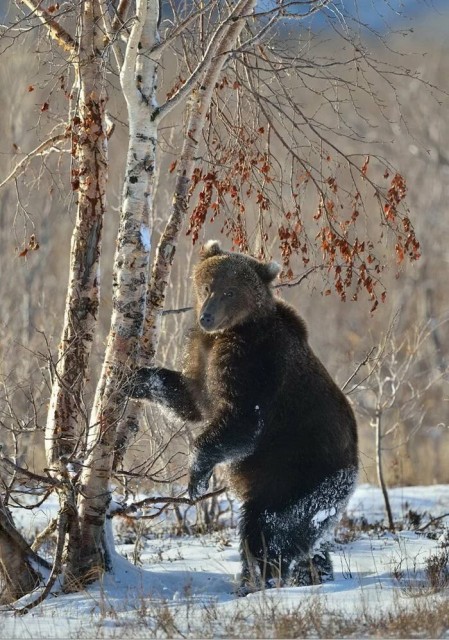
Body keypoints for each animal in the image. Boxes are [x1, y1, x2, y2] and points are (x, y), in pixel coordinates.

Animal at [127, 240, 358, 594]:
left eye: (230, 291)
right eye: (207, 286)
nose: (207, 316)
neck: (230, 332)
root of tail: (353, 471)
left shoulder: (255, 363)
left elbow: (242, 421)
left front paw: (196, 477)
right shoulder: (204, 356)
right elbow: (191, 398)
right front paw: (135, 378)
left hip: (296, 474)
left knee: (269, 529)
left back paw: (257, 581)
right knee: (308, 540)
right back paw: (314, 575)